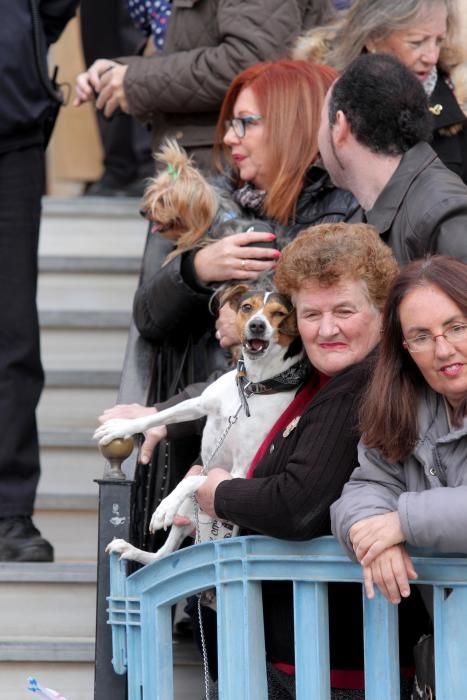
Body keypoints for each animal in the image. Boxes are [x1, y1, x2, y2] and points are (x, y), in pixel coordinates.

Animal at [94, 284, 308, 564]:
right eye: (247, 307)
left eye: (280, 313)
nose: (257, 325)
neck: (251, 388)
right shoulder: (199, 404)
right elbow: (158, 416)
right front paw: (120, 426)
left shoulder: (240, 471)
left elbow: (190, 481)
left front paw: (164, 507)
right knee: (161, 556)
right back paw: (132, 549)